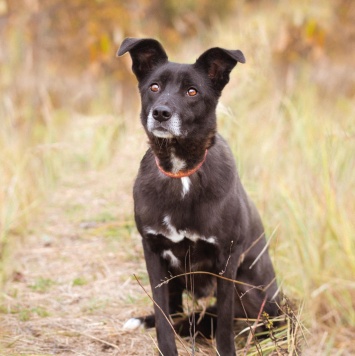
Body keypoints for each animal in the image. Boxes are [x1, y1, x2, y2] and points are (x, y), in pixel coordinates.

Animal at [119, 37, 280, 354]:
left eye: (192, 91)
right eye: (154, 87)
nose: (161, 113)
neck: (181, 173)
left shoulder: (227, 259)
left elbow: (225, 324)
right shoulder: (153, 252)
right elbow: (163, 316)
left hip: (251, 291)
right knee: (175, 311)